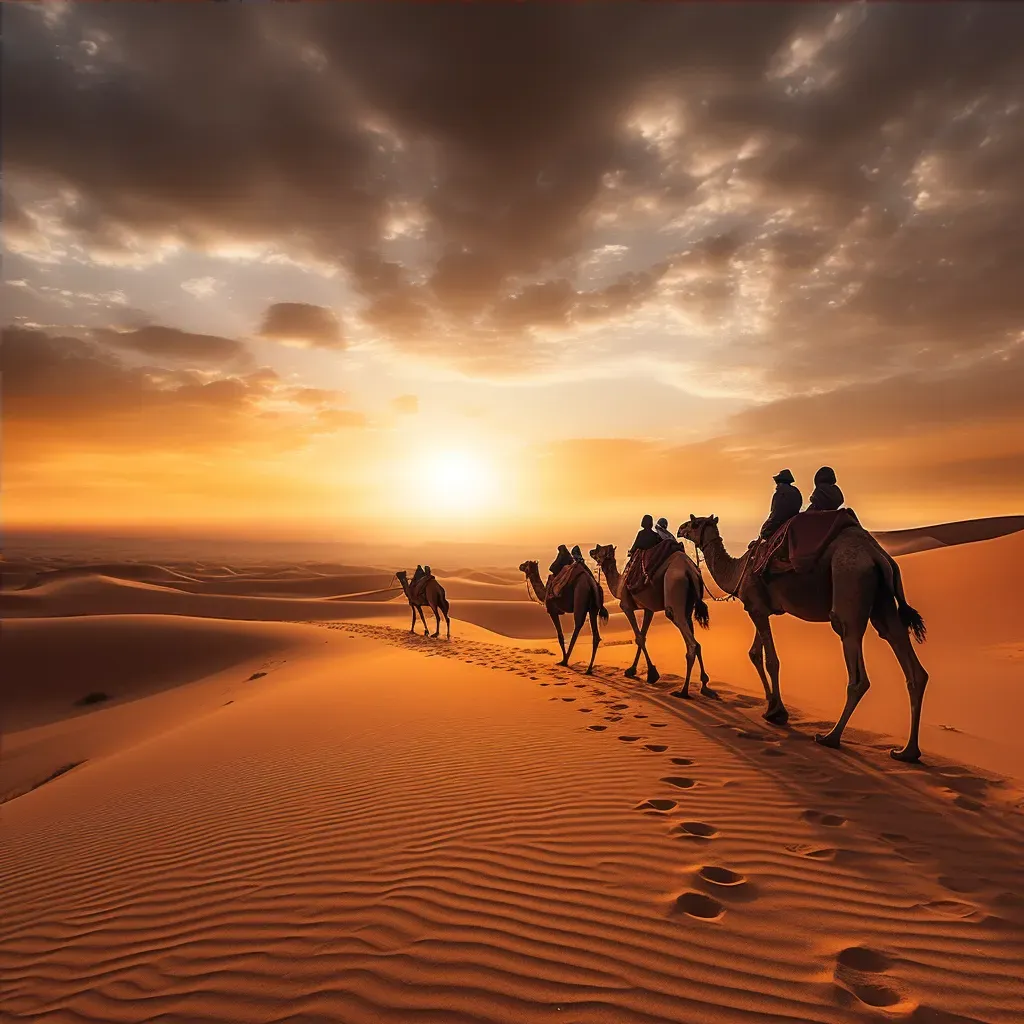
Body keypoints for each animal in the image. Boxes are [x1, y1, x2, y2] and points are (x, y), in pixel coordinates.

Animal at [593, 540, 712, 700]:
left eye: (599, 549)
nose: (590, 551)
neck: (619, 584)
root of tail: (690, 570)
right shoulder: (648, 609)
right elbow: (643, 636)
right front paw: (632, 670)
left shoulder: (626, 606)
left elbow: (638, 638)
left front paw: (652, 673)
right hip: (688, 605)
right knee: (696, 642)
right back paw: (704, 684)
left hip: (674, 588)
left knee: (691, 643)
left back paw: (683, 691)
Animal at [679, 512, 929, 761]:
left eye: (695, 523)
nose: (681, 528)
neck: (737, 570)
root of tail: (878, 555)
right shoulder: (760, 609)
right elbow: (755, 654)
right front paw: (770, 704)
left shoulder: (756, 608)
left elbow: (772, 661)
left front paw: (778, 712)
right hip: (883, 600)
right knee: (908, 659)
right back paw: (907, 751)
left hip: (850, 583)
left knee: (856, 666)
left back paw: (830, 737)